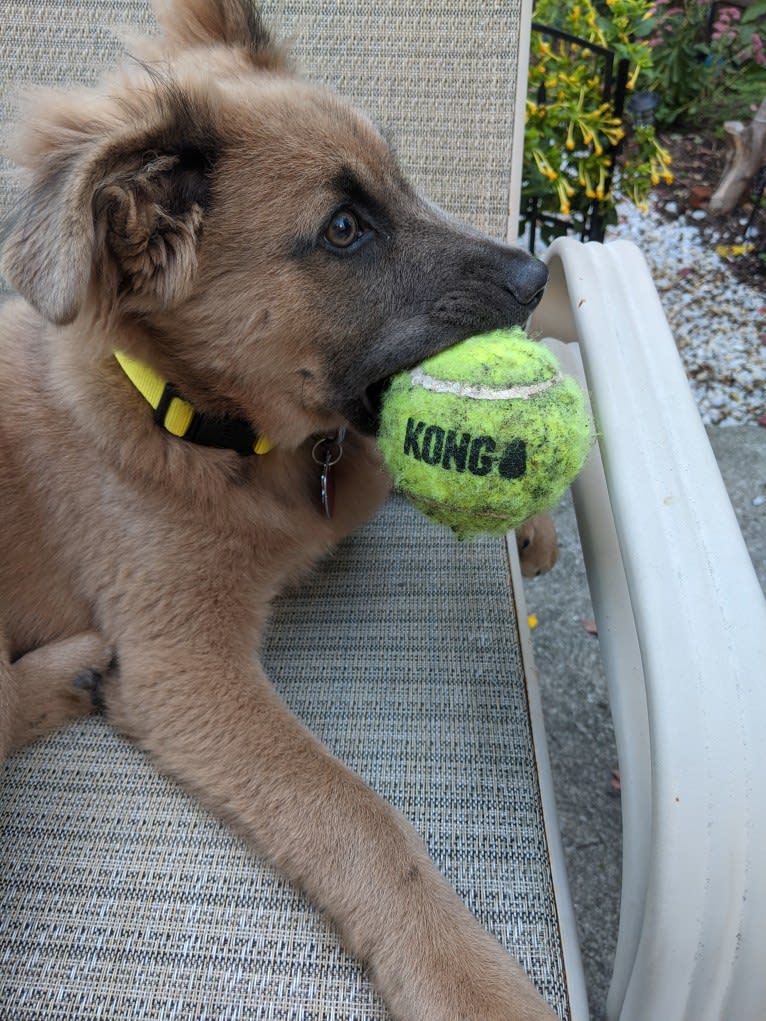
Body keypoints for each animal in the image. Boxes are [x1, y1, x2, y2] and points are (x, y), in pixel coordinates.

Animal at [3, 3, 559, 1016]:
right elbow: (355, 815)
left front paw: (530, 514)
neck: (206, 429)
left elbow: (389, 458)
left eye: (401, 179)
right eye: (343, 228)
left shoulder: (344, 470)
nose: (540, 284)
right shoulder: (185, 666)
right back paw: (74, 668)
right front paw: (470, 982)